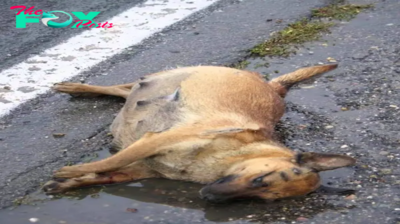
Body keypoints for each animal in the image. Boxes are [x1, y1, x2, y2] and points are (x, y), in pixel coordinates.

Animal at [42, 64, 354, 202]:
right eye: (260, 180)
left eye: (265, 198)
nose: (209, 196)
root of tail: (274, 88)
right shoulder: (154, 141)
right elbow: (111, 161)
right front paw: (71, 171)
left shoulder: (143, 168)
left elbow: (107, 174)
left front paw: (69, 183)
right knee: (121, 87)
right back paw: (75, 87)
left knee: (123, 92)